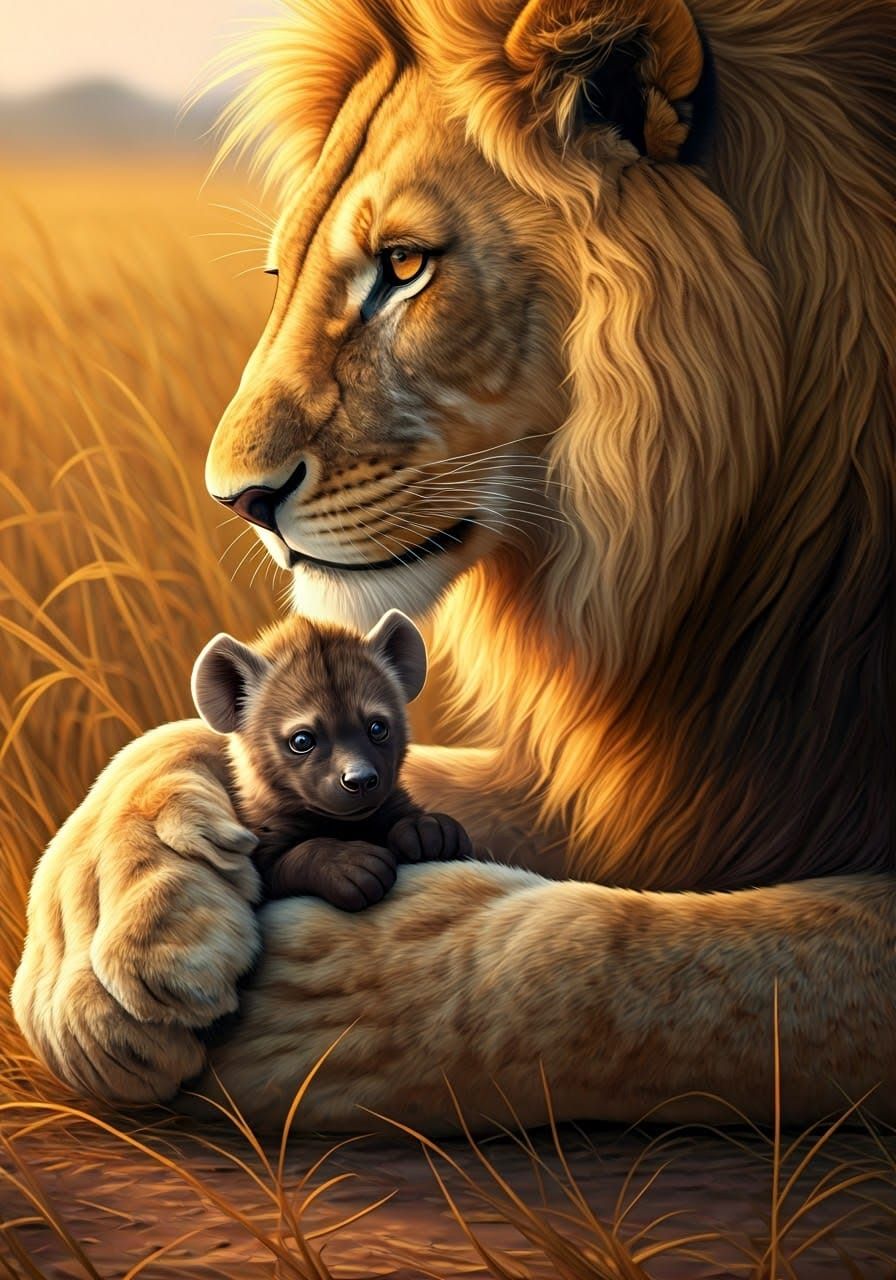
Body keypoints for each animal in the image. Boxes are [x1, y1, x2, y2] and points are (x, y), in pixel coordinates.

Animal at [12, 0, 895, 1134]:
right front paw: (104, 946)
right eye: (282, 273)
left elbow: (637, 953)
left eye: (402, 266)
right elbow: (179, 736)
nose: (235, 497)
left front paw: (324, 994)